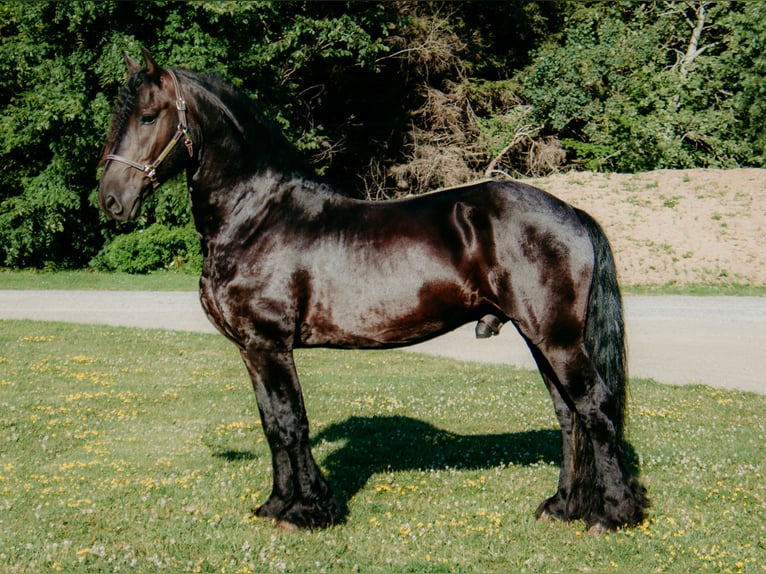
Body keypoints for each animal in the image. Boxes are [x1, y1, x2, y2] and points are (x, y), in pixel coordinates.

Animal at [98, 48, 648, 533]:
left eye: (147, 116)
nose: (110, 200)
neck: (256, 216)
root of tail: (570, 212)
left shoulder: (271, 345)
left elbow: (291, 422)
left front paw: (307, 512)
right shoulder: (252, 350)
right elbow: (273, 425)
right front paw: (276, 505)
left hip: (557, 339)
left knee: (594, 408)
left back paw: (612, 514)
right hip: (539, 336)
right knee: (569, 414)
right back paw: (562, 507)